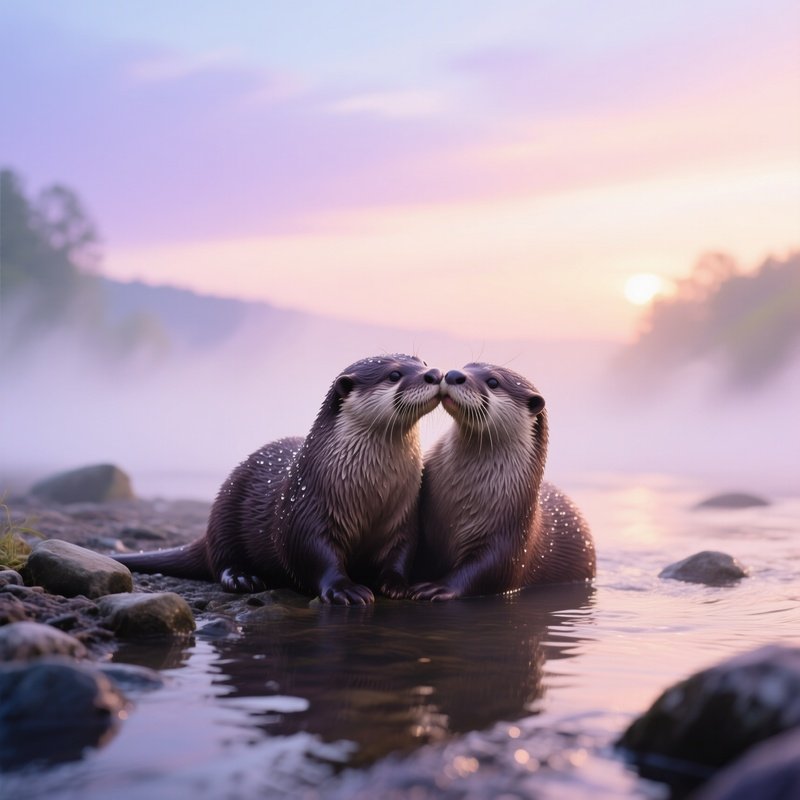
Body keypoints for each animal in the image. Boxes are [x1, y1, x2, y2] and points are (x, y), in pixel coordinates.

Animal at [116, 354, 442, 604]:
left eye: (423, 362)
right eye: (394, 374)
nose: (435, 374)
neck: (372, 495)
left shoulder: (403, 515)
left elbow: (401, 553)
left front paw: (399, 585)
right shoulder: (306, 507)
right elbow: (312, 553)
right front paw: (345, 590)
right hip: (225, 511)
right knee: (221, 559)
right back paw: (242, 578)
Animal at [409, 363, 595, 600]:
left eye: (493, 382)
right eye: (467, 366)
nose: (453, 374)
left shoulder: (509, 537)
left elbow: (488, 571)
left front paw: (438, 588)